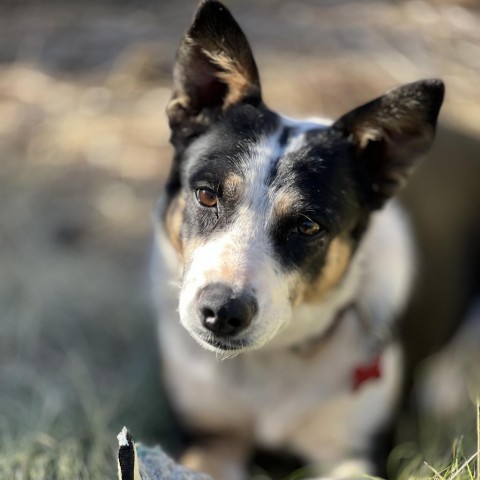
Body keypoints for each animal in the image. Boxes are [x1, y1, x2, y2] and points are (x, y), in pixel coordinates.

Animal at [151, 1, 446, 478]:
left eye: (308, 226)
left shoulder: (352, 451)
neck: (273, 357)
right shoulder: (211, 438)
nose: (222, 313)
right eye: (207, 195)